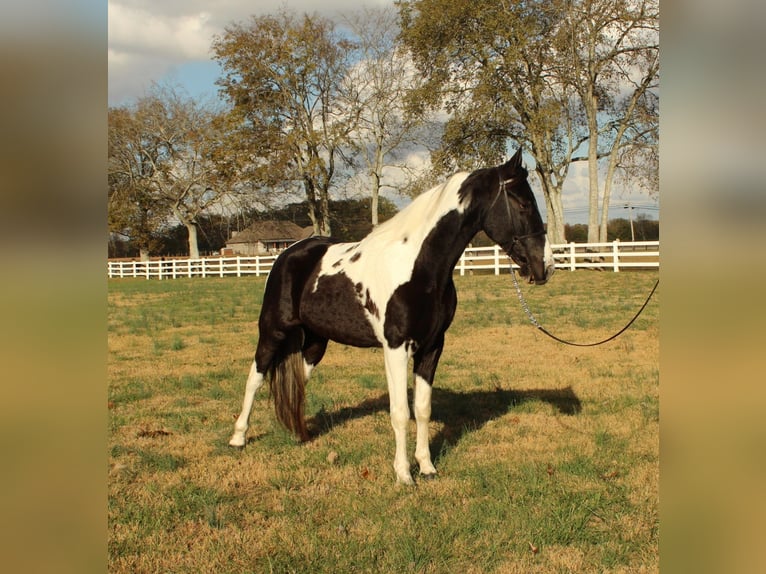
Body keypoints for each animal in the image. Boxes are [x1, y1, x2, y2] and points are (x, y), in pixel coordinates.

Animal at [228, 150, 560, 486]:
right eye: (523, 204)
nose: (545, 266)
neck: (419, 267)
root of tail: (288, 253)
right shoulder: (396, 347)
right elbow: (400, 412)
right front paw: (403, 474)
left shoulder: (432, 346)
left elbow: (422, 408)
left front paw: (426, 467)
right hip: (273, 331)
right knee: (255, 377)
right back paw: (238, 438)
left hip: (315, 343)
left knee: (298, 381)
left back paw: (299, 434)